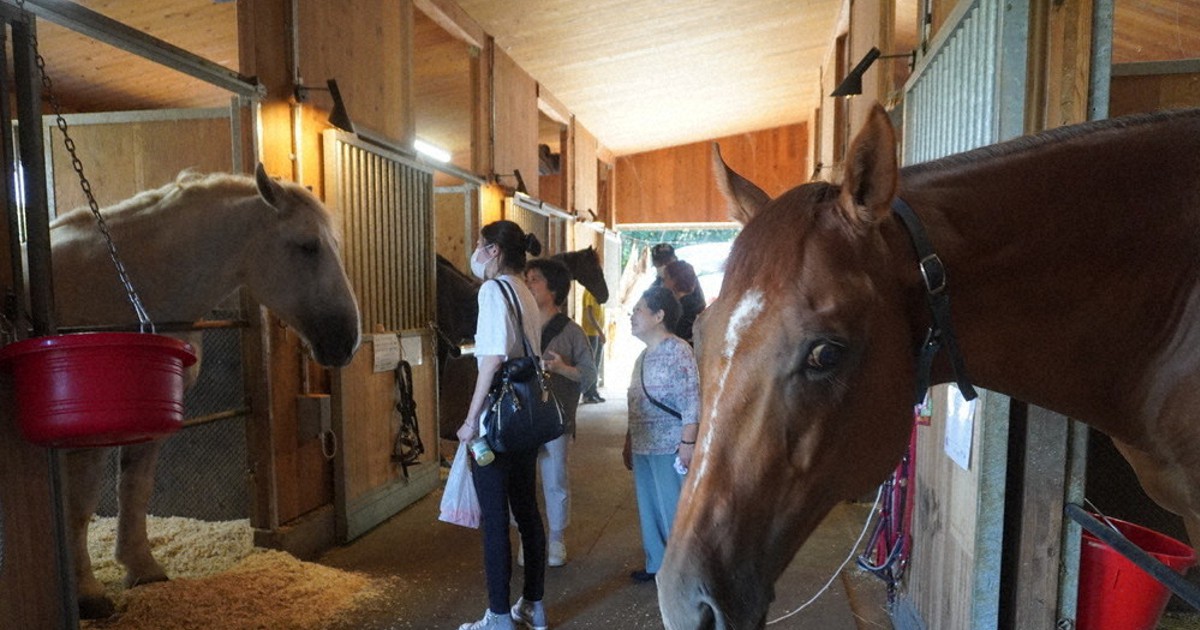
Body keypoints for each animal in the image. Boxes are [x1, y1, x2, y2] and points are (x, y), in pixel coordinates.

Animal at [49, 164, 361, 619]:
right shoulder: (86, 434)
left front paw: (143, 569)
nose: (347, 341)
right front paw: (88, 594)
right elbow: (80, 505)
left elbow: (135, 489)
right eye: (307, 246)